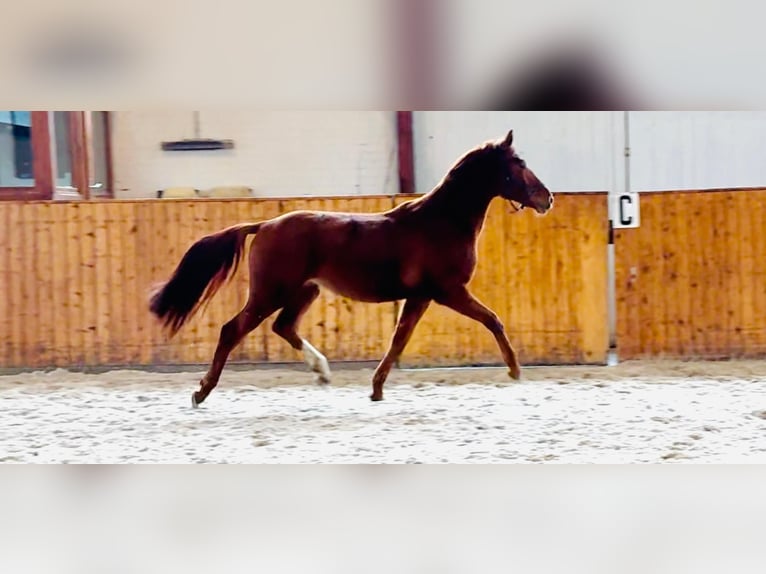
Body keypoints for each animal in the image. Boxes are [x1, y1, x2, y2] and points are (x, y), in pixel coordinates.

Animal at [149, 130, 553, 407]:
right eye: (519, 165)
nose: (547, 198)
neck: (440, 222)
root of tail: (263, 226)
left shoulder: (421, 297)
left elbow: (399, 339)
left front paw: (376, 389)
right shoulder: (447, 291)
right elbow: (492, 320)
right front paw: (515, 371)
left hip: (304, 290)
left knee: (284, 327)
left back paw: (322, 372)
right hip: (271, 292)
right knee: (232, 330)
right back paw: (202, 391)